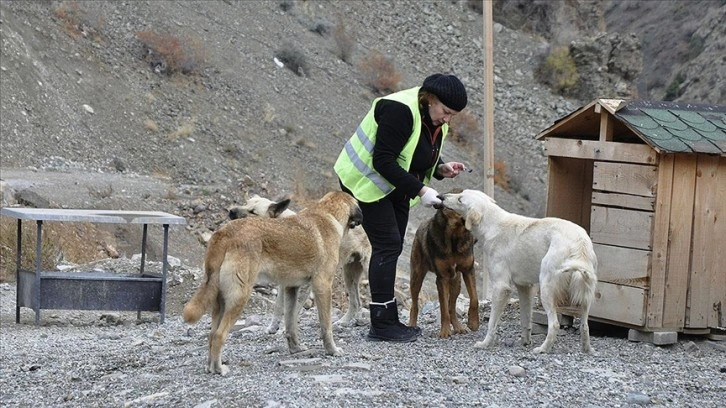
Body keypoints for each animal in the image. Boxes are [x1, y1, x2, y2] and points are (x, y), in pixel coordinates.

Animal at [230, 193, 372, 334]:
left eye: (253, 212)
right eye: (245, 203)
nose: (231, 211)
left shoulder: (304, 285)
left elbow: (293, 308)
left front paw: (284, 328)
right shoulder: (285, 282)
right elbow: (278, 306)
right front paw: (273, 327)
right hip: (349, 273)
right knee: (356, 302)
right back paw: (344, 321)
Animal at [412, 204, 480, 338]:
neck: (455, 235)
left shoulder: (468, 270)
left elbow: (474, 298)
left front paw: (473, 323)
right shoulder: (442, 278)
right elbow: (443, 308)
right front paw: (444, 331)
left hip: (456, 282)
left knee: (452, 307)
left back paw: (458, 327)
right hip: (416, 277)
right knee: (414, 304)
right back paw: (411, 326)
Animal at [440, 190, 600, 352]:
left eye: (460, 199)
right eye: (460, 193)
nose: (442, 196)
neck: (491, 224)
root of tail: (579, 240)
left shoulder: (501, 287)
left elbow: (492, 323)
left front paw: (486, 343)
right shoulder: (524, 287)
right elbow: (525, 319)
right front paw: (525, 341)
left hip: (546, 288)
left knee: (554, 324)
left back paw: (543, 349)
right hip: (584, 295)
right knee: (585, 325)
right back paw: (587, 349)